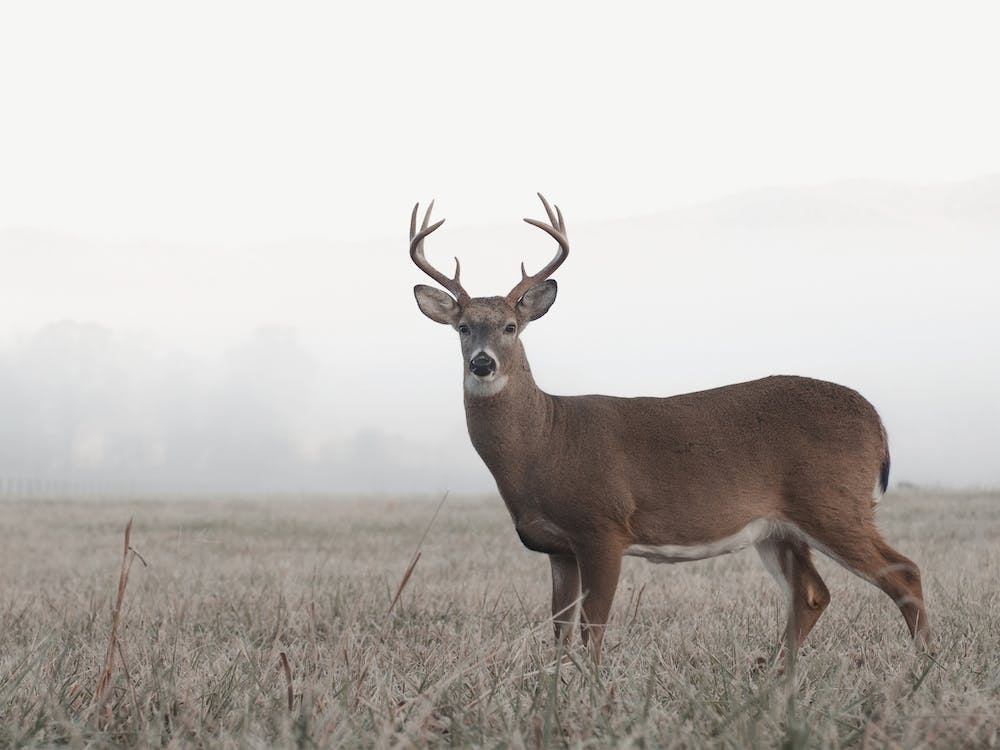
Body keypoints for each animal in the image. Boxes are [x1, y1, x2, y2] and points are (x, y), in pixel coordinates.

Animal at [410, 194, 932, 663]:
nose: (482, 363)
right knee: (812, 593)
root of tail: (876, 421)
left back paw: (924, 666)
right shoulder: (557, 547)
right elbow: (559, 632)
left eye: (511, 326)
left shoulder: (603, 527)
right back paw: (776, 676)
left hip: (834, 503)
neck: (545, 441)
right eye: (463, 328)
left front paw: (593, 691)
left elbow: (592, 631)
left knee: (905, 572)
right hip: (779, 527)